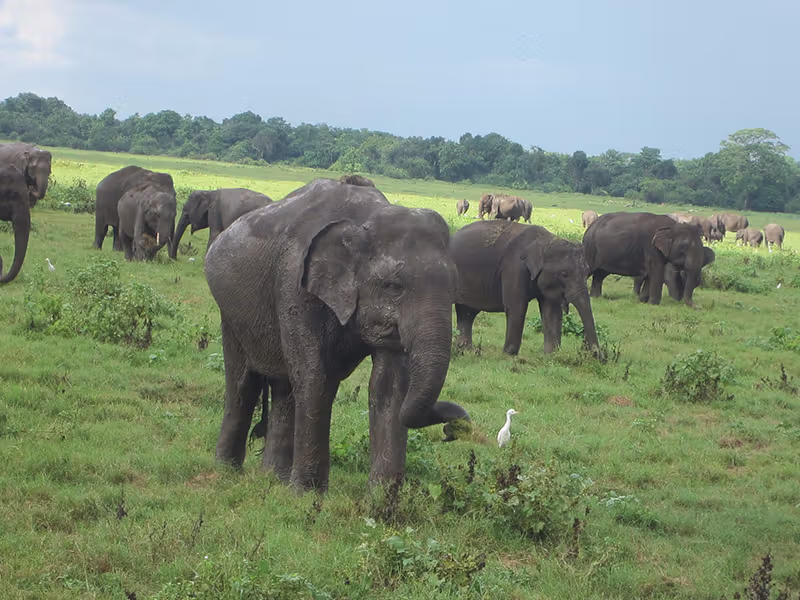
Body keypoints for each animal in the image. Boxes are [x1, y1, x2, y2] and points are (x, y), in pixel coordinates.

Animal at [203, 177, 469, 492]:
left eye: (455, 286)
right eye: (393, 286)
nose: (455, 428)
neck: (365, 219)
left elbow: (389, 385)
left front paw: (382, 497)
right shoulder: (294, 285)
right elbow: (314, 377)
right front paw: (307, 494)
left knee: (283, 387)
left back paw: (273, 477)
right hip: (230, 311)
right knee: (243, 382)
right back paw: (227, 469)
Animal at [450, 220, 600, 356]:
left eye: (587, 272)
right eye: (564, 274)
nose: (597, 355)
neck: (546, 239)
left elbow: (552, 312)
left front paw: (551, 355)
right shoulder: (514, 266)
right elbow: (516, 307)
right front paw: (509, 354)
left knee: (467, 312)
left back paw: (465, 350)